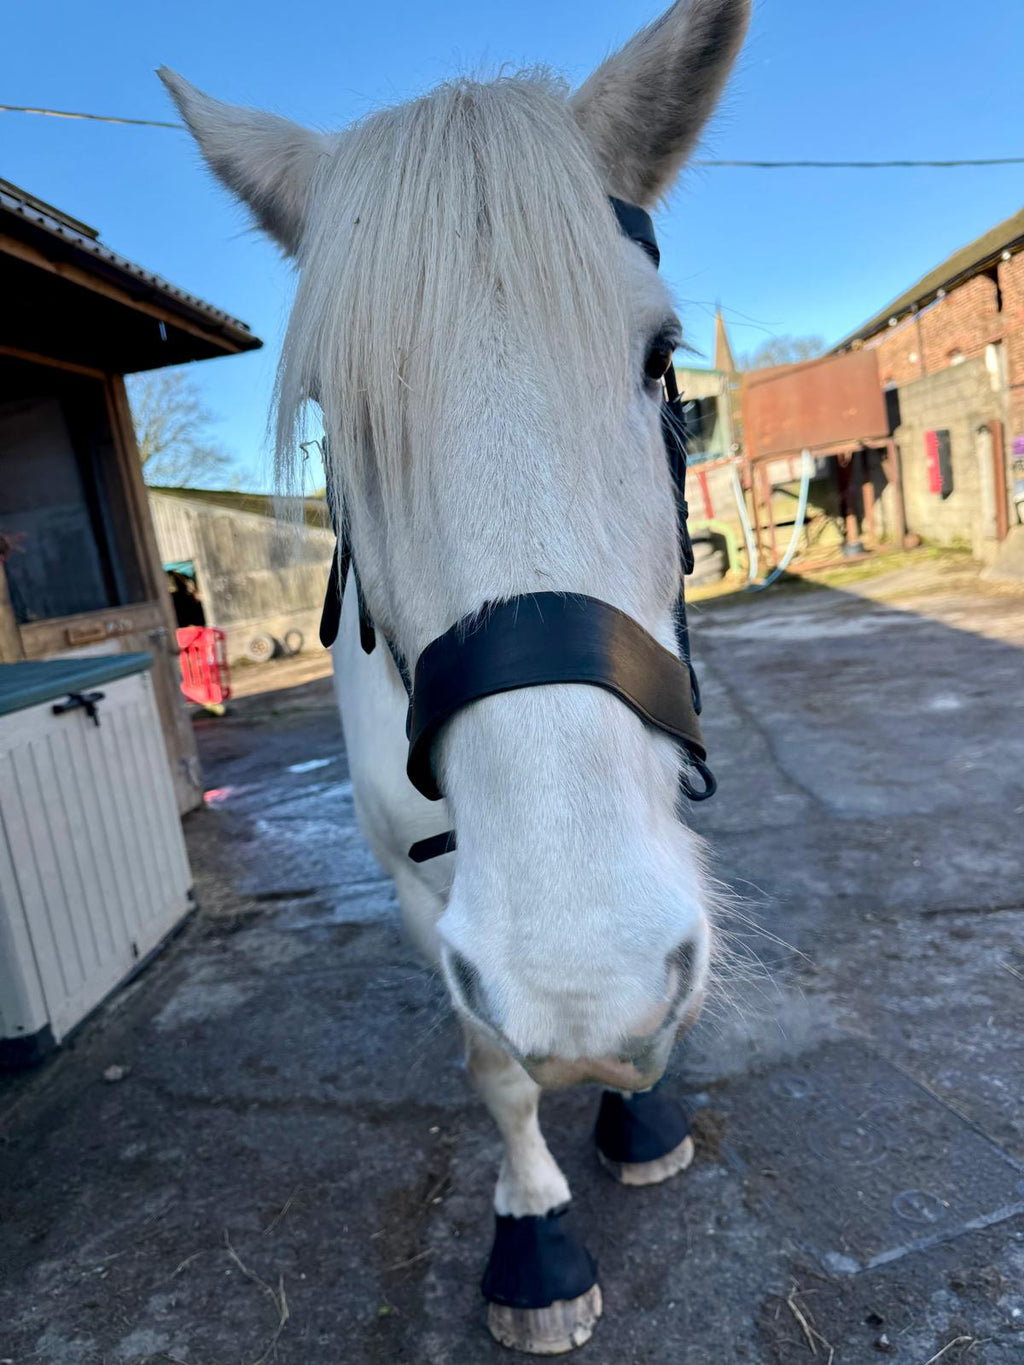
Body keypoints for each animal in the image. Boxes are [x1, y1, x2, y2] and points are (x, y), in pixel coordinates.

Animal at [161, 0, 750, 1350]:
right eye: (342, 415)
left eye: (661, 357)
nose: (583, 981)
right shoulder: (420, 891)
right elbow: (492, 1058)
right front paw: (534, 1230)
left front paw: (634, 1106)